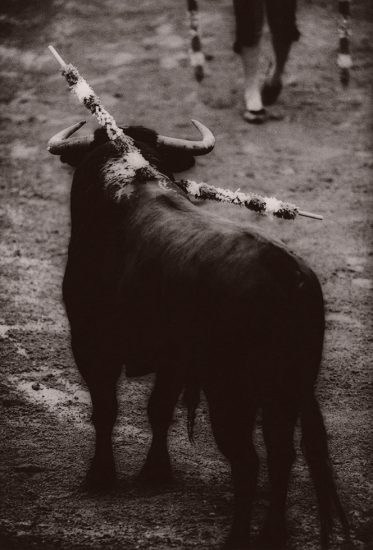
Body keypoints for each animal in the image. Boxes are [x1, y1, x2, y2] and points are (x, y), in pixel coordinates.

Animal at [52, 123, 348, 548]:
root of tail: (287, 276)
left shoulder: (91, 343)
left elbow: (106, 410)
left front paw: (100, 476)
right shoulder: (173, 361)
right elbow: (158, 409)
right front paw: (155, 472)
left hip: (232, 393)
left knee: (248, 461)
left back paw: (238, 537)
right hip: (285, 390)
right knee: (281, 454)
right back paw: (272, 533)